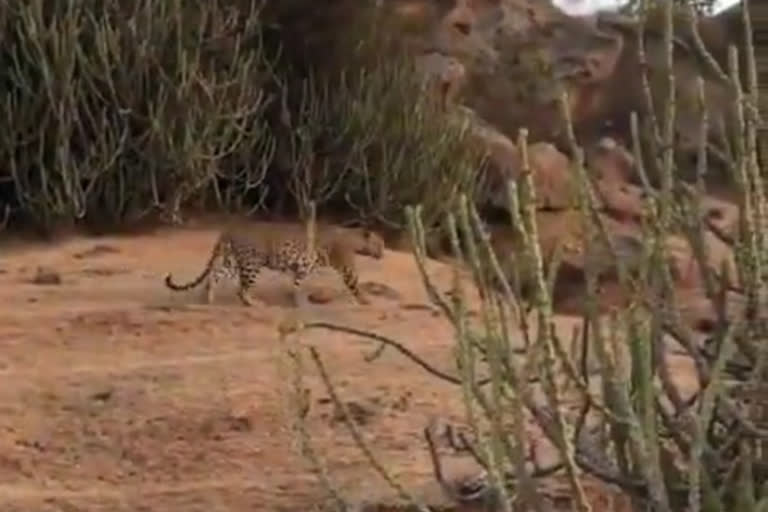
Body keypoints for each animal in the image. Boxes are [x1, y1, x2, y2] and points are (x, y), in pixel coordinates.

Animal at [166, 225, 388, 306]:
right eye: (380, 243)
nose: (383, 254)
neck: (354, 239)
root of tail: (229, 229)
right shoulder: (347, 267)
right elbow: (355, 283)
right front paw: (366, 300)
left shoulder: (302, 267)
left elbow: (297, 284)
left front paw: (297, 300)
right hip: (252, 263)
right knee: (242, 288)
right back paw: (253, 303)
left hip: (233, 261)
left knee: (215, 275)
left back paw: (208, 297)